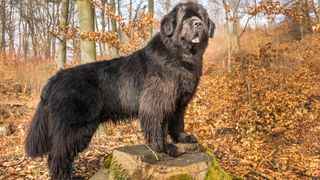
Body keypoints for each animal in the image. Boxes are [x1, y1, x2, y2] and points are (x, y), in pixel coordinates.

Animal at [24, 1, 215, 179]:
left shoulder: (180, 102)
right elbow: (158, 126)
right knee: (58, 155)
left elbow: (178, 122)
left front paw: (183, 138)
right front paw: (164, 147)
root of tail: (53, 80)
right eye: (185, 19)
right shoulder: (157, 102)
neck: (180, 58)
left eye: (201, 18)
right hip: (75, 128)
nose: (197, 23)